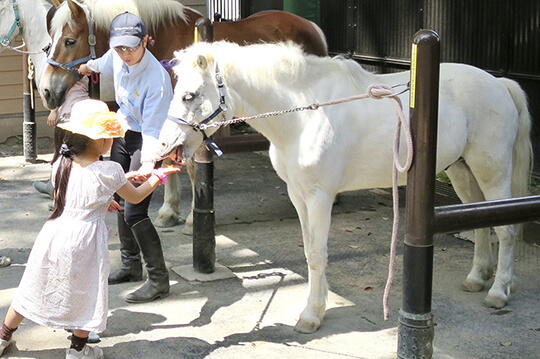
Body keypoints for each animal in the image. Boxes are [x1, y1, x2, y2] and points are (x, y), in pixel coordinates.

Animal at [159, 42, 532, 334]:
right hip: (462, 171)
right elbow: (310, 252)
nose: (165, 145)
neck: (304, 115)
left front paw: (311, 315)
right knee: (481, 223)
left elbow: (318, 254)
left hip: (492, 172)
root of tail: (499, 83)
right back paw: (477, 277)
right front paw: (318, 305)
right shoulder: (299, 196)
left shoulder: (320, 197)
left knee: (506, 229)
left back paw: (498, 291)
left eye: (190, 95)